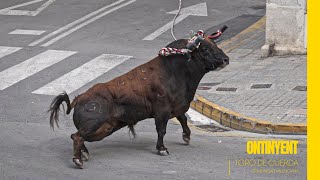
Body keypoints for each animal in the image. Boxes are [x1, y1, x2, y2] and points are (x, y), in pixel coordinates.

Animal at [48, 37, 228, 168]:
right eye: (205, 49)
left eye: (215, 44)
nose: (226, 59)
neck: (176, 70)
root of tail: (79, 98)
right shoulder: (162, 112)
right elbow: (161, 130)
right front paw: (162, 149)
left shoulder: (176, 108)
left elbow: (183, 119)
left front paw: (186, 137)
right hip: (95, 125)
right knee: (78, 136)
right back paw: (78, 160)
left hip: (105, 129)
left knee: (76, 135)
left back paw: (84, 155)